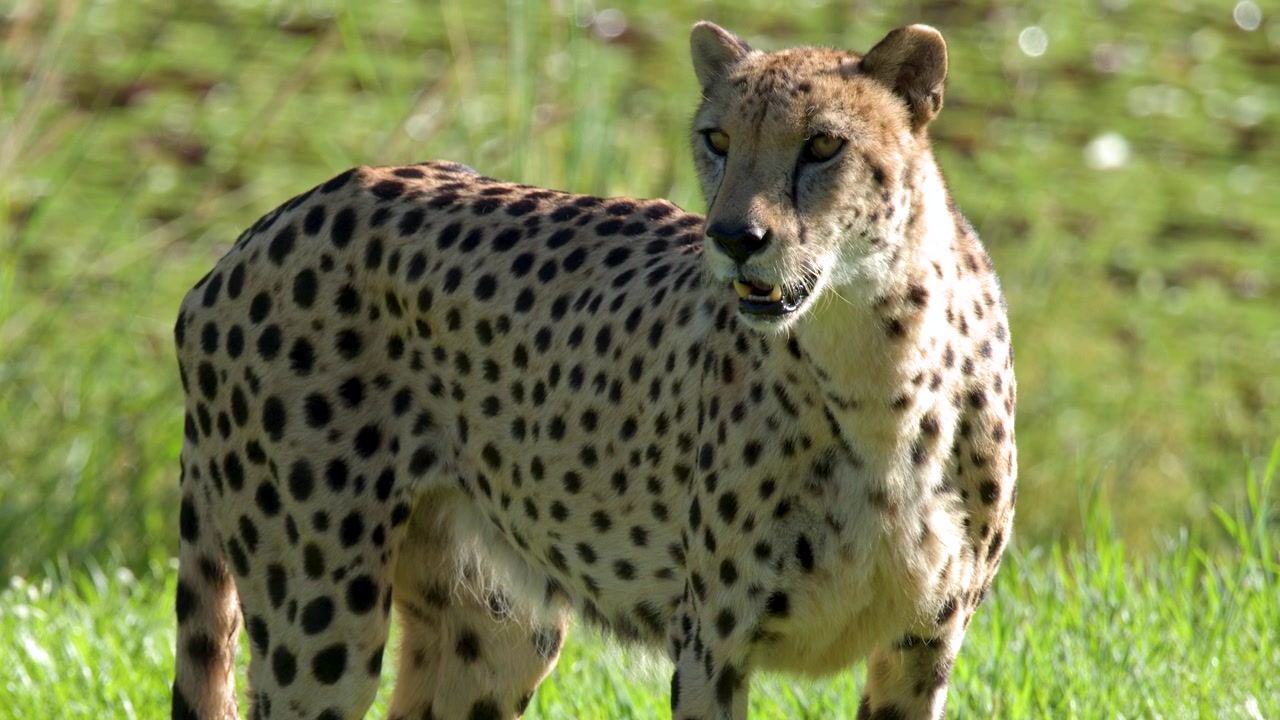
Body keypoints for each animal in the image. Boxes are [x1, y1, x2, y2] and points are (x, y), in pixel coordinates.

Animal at [171, 20, 1016, 720]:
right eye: (716, 138)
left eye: (822, 146)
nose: (733, 238)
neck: (877, 363)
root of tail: (270, 223)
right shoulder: (712, 645)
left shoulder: (924, 645)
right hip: (320, 620)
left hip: (499, 630)